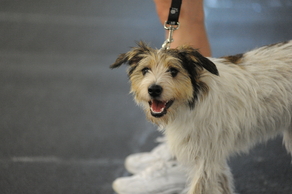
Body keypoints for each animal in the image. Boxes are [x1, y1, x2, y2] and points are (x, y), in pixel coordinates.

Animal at [110, 41, 292, 194]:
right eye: (145, 70)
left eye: (173, 71)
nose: (154, 89)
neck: (192, 100)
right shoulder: (213, 159)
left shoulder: (205, 161)